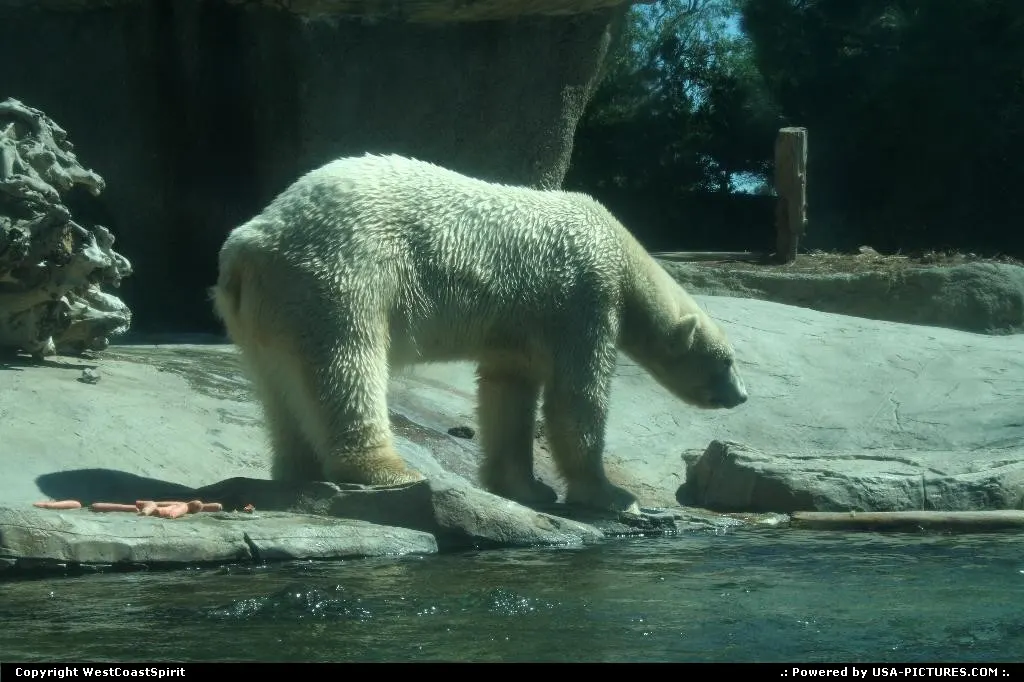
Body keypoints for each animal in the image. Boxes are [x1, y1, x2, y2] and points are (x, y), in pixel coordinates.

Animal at [212, 153, 747, 513]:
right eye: (726, 361)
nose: (741, 396)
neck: (618, 247)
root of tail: (250, 241)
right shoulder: (585, 297)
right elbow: (577, 398)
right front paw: (612, 496)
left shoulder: (522, 329)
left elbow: (507, 393)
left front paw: (525, 487)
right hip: (340, 275)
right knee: (347, 364)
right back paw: (389, 470)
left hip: (267, 312)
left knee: (280, 386)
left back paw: (297, 470)